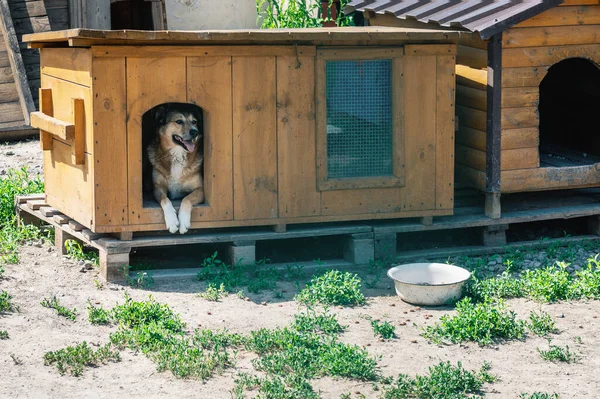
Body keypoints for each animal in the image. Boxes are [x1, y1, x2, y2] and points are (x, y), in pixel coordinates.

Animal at [147, 105, 204, 234]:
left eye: (194, 122)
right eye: (179, 121)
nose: (195, 131)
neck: (178, 155)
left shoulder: (201, 190)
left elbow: (187, 199)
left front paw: (183, 221)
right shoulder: (158, 188)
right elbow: (165, 200)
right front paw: (172, 221)